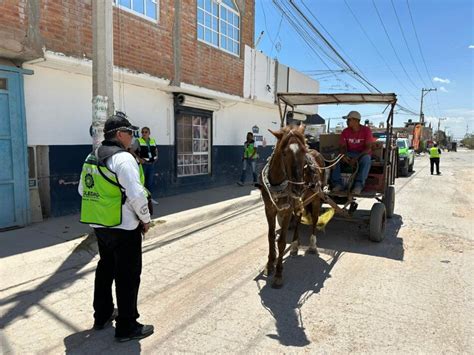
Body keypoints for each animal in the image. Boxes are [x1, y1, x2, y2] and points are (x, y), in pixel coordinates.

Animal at [260, 125, 326, 290]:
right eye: (284, 153)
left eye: (303, 151)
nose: (298, 188)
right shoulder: (269, 209)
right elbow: (271, 237)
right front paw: (269, 264)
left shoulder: (286, 210)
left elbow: (282, 241)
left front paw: (278, 274)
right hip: (301, 201)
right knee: (298, 219)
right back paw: (295, 245)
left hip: (316, 198)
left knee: (314, 219)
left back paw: (312, 246)